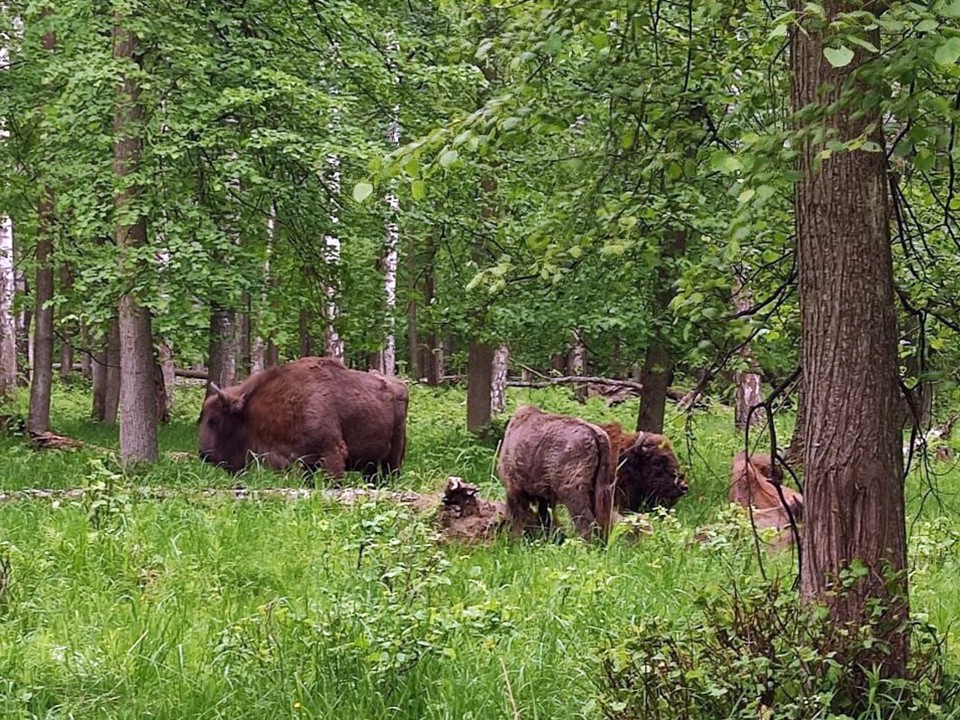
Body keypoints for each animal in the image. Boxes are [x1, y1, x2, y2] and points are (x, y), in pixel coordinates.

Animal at [199, 358, 408, 480]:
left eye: (214, 420)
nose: (204, 454)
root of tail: (400, 385)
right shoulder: (302, 463)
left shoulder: (332, 453)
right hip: (370, 462)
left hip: (394, 453)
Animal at [496, 404, 616, 540]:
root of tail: (595, 435)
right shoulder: (545, 495)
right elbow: (545, 517)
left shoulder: (514, 487)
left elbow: (517, 517)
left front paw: (515, 539)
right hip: (598, 487)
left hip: (571, 489)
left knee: (585, 521)